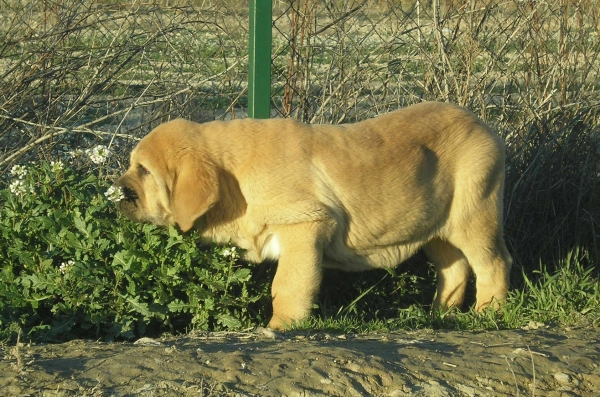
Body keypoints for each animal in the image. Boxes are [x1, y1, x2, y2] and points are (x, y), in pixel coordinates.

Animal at [116, 101, 510, 328]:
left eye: (145, 171)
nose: (120, 192)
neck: (234, 178)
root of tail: (482, 125)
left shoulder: (303, 226)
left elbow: (287, 285)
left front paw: (280, 326)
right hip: (436, 227)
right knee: (454, 268)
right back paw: (440, 314)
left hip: (473, 216)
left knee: (493, 263)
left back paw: (487, 314)